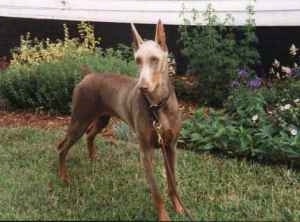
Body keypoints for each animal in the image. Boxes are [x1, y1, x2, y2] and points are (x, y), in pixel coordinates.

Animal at [57, 20, 185, 221]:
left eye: (154, 59)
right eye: (137, 60)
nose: (142, 87)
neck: (156, 107)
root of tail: (88, 75)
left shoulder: (170, 147)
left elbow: (173, 183)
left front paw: (179, 208)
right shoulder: (145, 152)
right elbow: (156, 191)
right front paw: (164, 217)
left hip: (102, 119)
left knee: (90, 136)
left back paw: (93, 159)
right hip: (79, 120)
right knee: (63, 148)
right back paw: (64, 177)